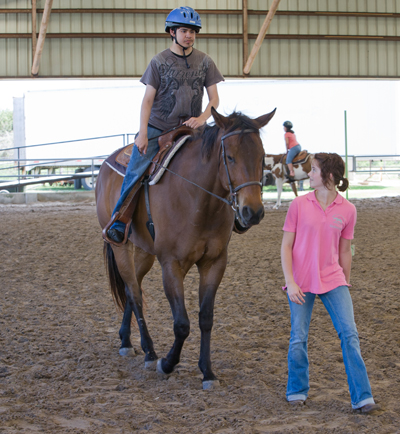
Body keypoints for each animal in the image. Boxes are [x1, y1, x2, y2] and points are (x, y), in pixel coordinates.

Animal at [95, 107, 276, 390]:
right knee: (134, 294)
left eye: (261, 157)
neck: (198, 199)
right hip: (120, 246)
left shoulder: (215, 263)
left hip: (144, 251)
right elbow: (181, 324)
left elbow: (205, 318)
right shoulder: (171, 265)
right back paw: (150, 352)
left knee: (132, 286)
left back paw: (126, 340)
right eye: (230, 157)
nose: (253, 212)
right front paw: (167, 363)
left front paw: (208, 372)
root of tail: (105, 164)